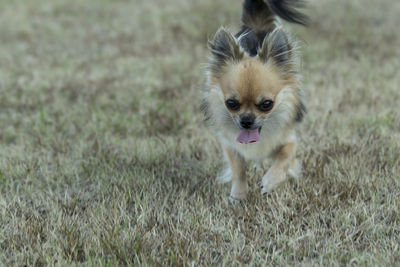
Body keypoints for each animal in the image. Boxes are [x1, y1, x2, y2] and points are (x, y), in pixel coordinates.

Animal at [202, 0, 308, 202]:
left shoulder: (290, 139)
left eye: (267, 104)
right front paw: (238, 194)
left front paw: (271, 181)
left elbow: (284, 157)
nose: (246, 120)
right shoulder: (229, 145)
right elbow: (237, 168)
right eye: (231, 104)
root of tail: (256, 26)